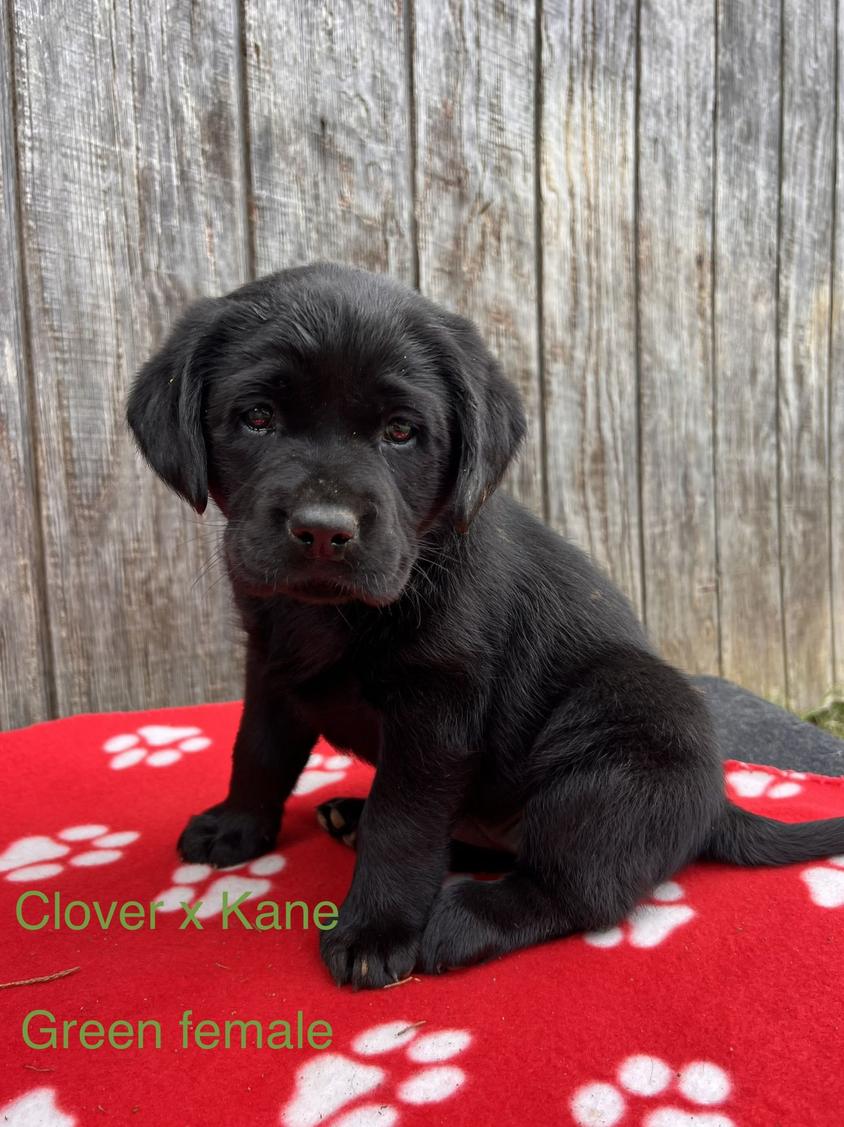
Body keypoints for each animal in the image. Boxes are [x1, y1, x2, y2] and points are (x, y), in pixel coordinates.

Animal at [125, 263, 842, 987]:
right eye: (257, 418)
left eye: (401, 431)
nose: (325, 529)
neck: (330, 614)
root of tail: (716, 805)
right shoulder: (270, 665)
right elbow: (258, 751)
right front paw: (236, 826)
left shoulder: (436, 710)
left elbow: (403, 824)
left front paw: (376, 930)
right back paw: (355, 818)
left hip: (625, 726)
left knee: (576, 887)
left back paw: (459, 919)